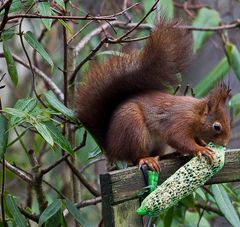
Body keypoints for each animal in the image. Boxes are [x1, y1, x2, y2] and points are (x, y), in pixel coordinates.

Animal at [77, 21, 231, 171]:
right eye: (217, 127)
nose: (224, 144)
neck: (196, 113)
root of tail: (111, 147)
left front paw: (202, 144)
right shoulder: (180, 120)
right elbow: (178, 138)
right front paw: (201, 149)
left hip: (157, 143)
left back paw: (170, 155)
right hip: (133, 129)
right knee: (135, 157)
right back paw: (147, 159)